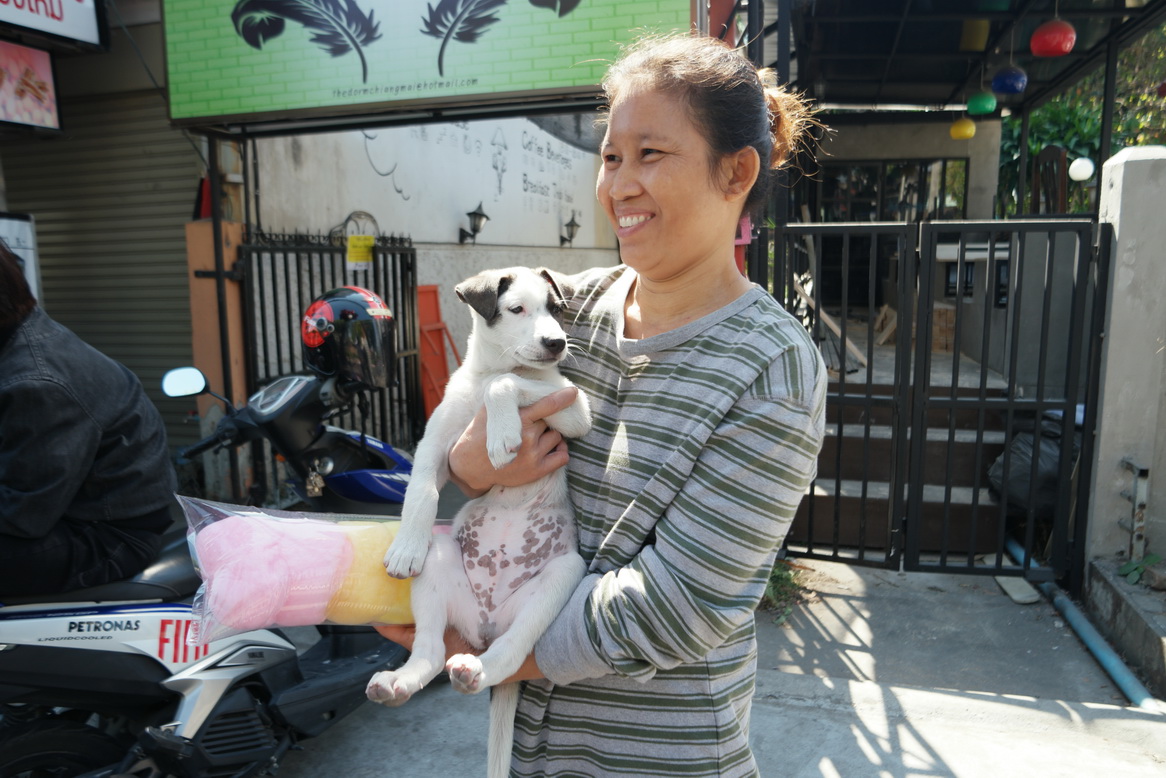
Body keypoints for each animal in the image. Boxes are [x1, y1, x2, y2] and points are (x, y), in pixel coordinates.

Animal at [368, 266, 590, 778]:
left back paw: (478, 670)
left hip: (558, 580)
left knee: (507, 654)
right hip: (442, 561)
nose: (556, 343)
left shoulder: (573, 406)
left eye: (557, 308)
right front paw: (404, 547)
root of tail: (486, 627)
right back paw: (398, 682)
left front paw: (502, 431)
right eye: (516, 309)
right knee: (431, 652)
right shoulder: (435, 447)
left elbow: (505, 384)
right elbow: (421, 493)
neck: (493, 367)